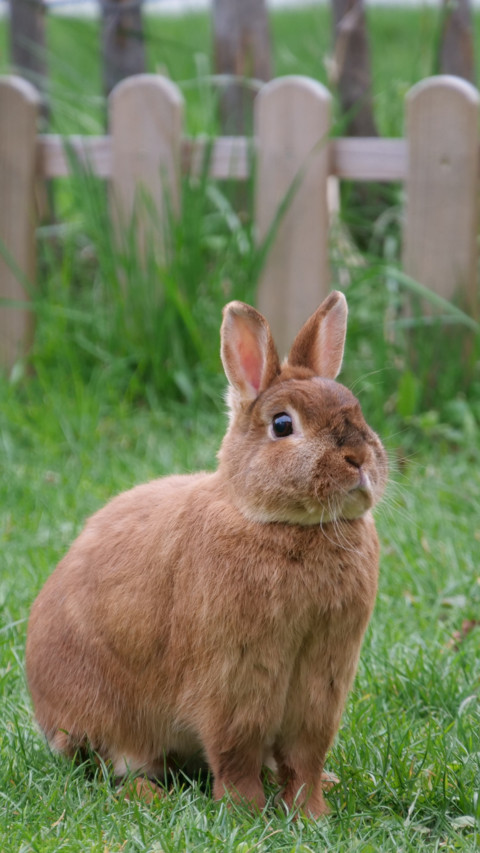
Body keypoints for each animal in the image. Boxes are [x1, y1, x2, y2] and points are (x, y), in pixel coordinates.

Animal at [26, 290, 388, 818]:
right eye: (283, 424)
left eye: (357, 410)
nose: (359, 459)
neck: (283, 524)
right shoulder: (234, 678)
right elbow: (236, 750)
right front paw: (246, 811)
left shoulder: (322, 683)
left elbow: (304, 755)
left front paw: (311, 813)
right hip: (107, 718)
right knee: (112, 767)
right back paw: (147, 795)